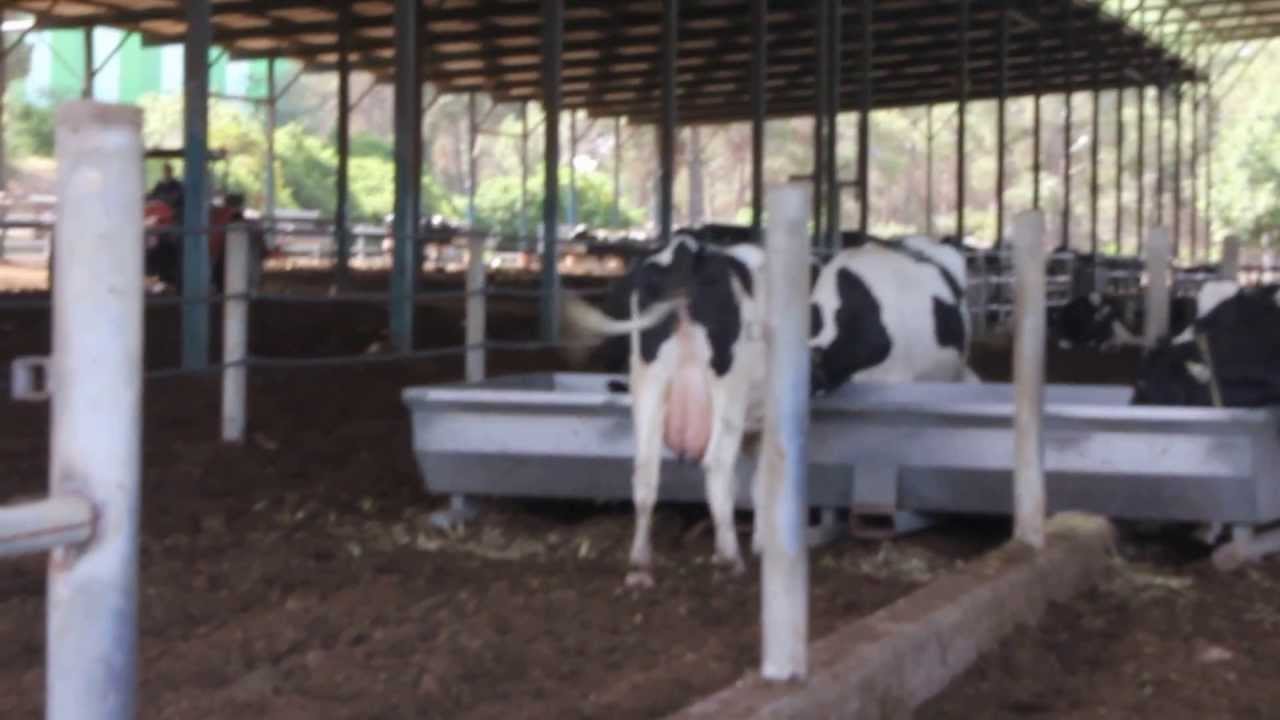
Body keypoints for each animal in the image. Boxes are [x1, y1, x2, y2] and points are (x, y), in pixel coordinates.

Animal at [565, 229, 972, 584]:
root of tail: (687, 252)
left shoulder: (760, 419)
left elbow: (760, 484)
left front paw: (765, 540)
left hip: (649, 381)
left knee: (645, 473)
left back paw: (639, 566)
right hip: (725, 387)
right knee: (716, 466)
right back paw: (728, 558)